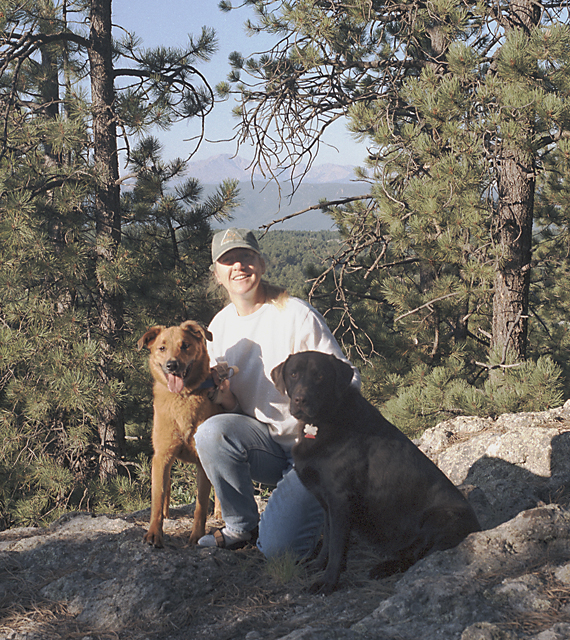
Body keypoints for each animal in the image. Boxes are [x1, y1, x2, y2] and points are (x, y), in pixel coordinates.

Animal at [138, 322, 222, 548]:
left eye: (185, 345)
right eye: (162, 348)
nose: (172, 365)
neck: (183, 397)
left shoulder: (202, 462)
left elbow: (200, 505)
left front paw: (197, 536)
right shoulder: (162, 456)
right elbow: (157, 498)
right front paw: (154, 533)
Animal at [270, 350, 480, 596]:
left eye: (319, 376)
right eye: (293, 374)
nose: (301, 400)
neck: (322, 421)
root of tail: (478, 527)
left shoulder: (340, 499)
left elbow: (337, 546)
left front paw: (328, 582)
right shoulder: (326, 502)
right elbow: (328, 540)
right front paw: (317, 565)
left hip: (440, 517)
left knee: (422, 556)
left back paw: (385, 567)